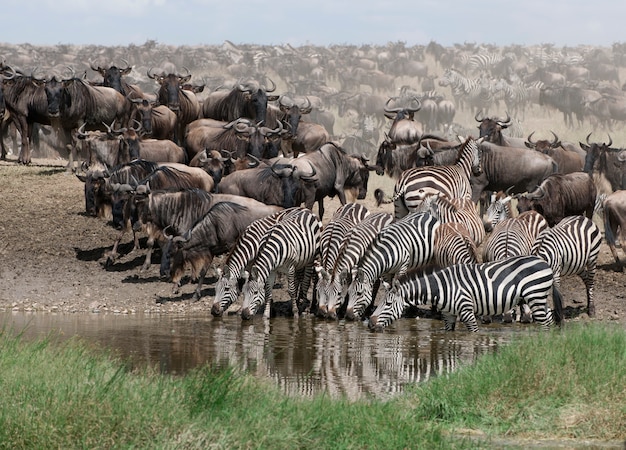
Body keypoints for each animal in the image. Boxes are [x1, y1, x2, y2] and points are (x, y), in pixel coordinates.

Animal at [368, 255, 564, 332]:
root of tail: (544, 263)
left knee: (545, 322)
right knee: (549, 318)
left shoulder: (466, 310)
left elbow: (473, 334)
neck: (441, 288)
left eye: (387, 304)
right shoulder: (448, 315)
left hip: (535, 296)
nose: (369, 325)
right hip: (539, 299)